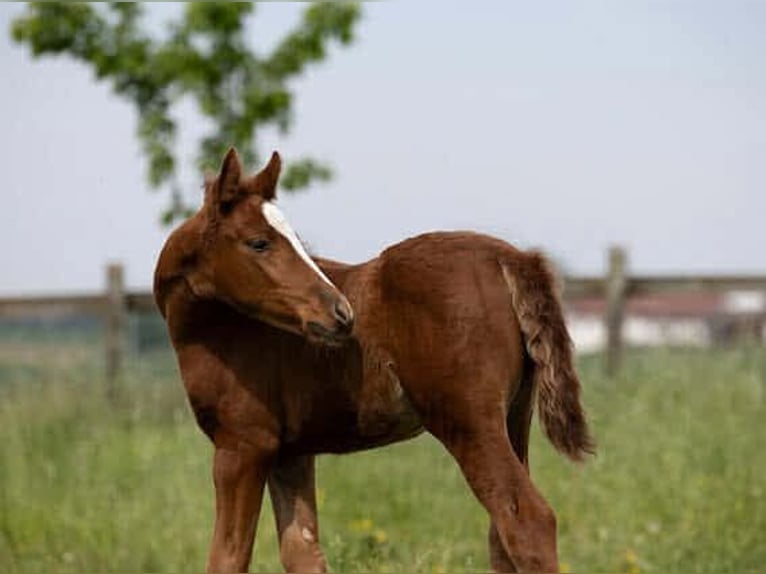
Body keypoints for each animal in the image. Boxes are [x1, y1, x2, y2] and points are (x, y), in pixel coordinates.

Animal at [153, 150, 596, 574]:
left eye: (290, 240)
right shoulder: (290, 453)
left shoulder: (243, 443)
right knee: (500, 535)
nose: (340, 313)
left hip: (468, 419)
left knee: (527, 520)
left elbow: (228, 558)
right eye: (259, 242)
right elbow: (303, 552)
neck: (222, 327)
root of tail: (510, 258)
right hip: (514, 415)